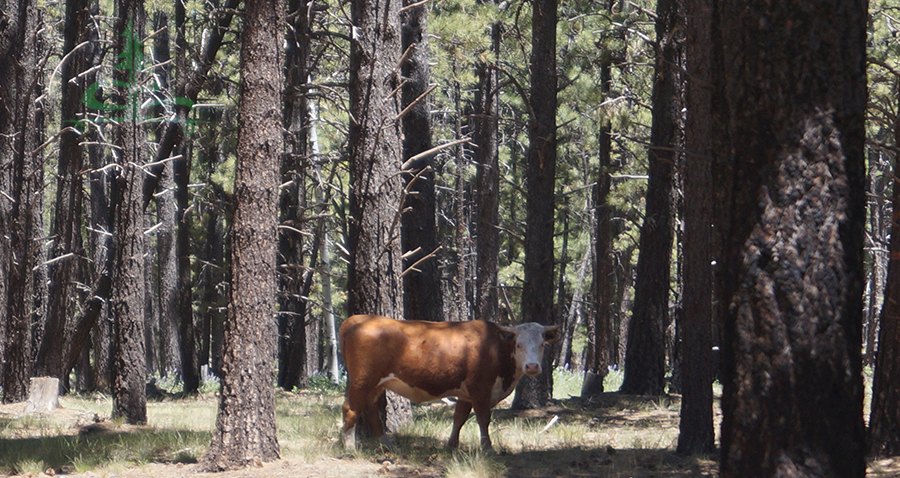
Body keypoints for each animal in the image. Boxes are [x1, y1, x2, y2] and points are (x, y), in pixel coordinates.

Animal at [340, 316, 560, 450]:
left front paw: (452, 445)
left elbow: (459, 417)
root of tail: (356, 319)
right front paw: (488, 448)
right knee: (351, 408)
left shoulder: (466, 394)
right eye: (519, 344)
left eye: (542, 344)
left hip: (375, 384)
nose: (532, 366)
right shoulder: (480, 388)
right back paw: (350, 447)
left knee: (370, 410)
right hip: (362, 380)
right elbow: (483, 418)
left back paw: (387, 444)